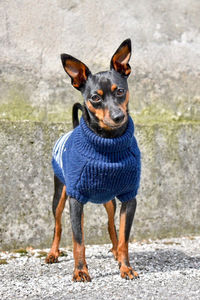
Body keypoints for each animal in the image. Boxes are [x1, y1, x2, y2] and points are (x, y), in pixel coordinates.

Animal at [46, 39, 141, 282]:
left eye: (120, 91)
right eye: (95, 98)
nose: (118, 116)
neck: (108, 141)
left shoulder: (129, 197)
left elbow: (124, 238)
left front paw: (126, 267)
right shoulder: (75, 198)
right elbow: (78, 240)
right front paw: (80, 271)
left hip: (109, 200)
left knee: (110, 225)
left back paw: (115, 253)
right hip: (60, 196)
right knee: (58, 226)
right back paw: (52, 253)